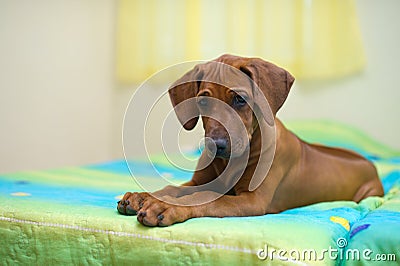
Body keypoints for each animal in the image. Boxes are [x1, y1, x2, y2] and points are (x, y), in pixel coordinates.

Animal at [116, 54, 384, 227]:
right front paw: (145, 196)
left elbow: (206, 198)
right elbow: (175, 188)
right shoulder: (199, 181)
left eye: (240, 99)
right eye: (203, 101)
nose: (217, 146)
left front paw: (166, 206)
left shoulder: (253, 201)